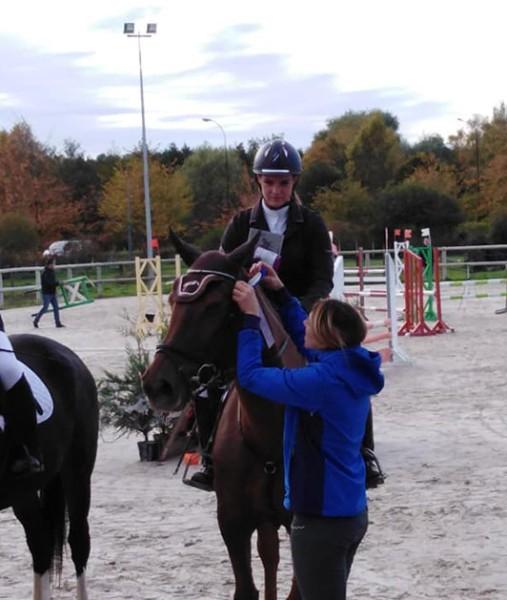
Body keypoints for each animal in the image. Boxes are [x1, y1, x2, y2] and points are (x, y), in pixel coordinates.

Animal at [142, 233, 306, 600]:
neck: (266, 433)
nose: (157, 384)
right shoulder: (232, 523)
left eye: (214, 306)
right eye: (172, 299)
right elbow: (246, 588)